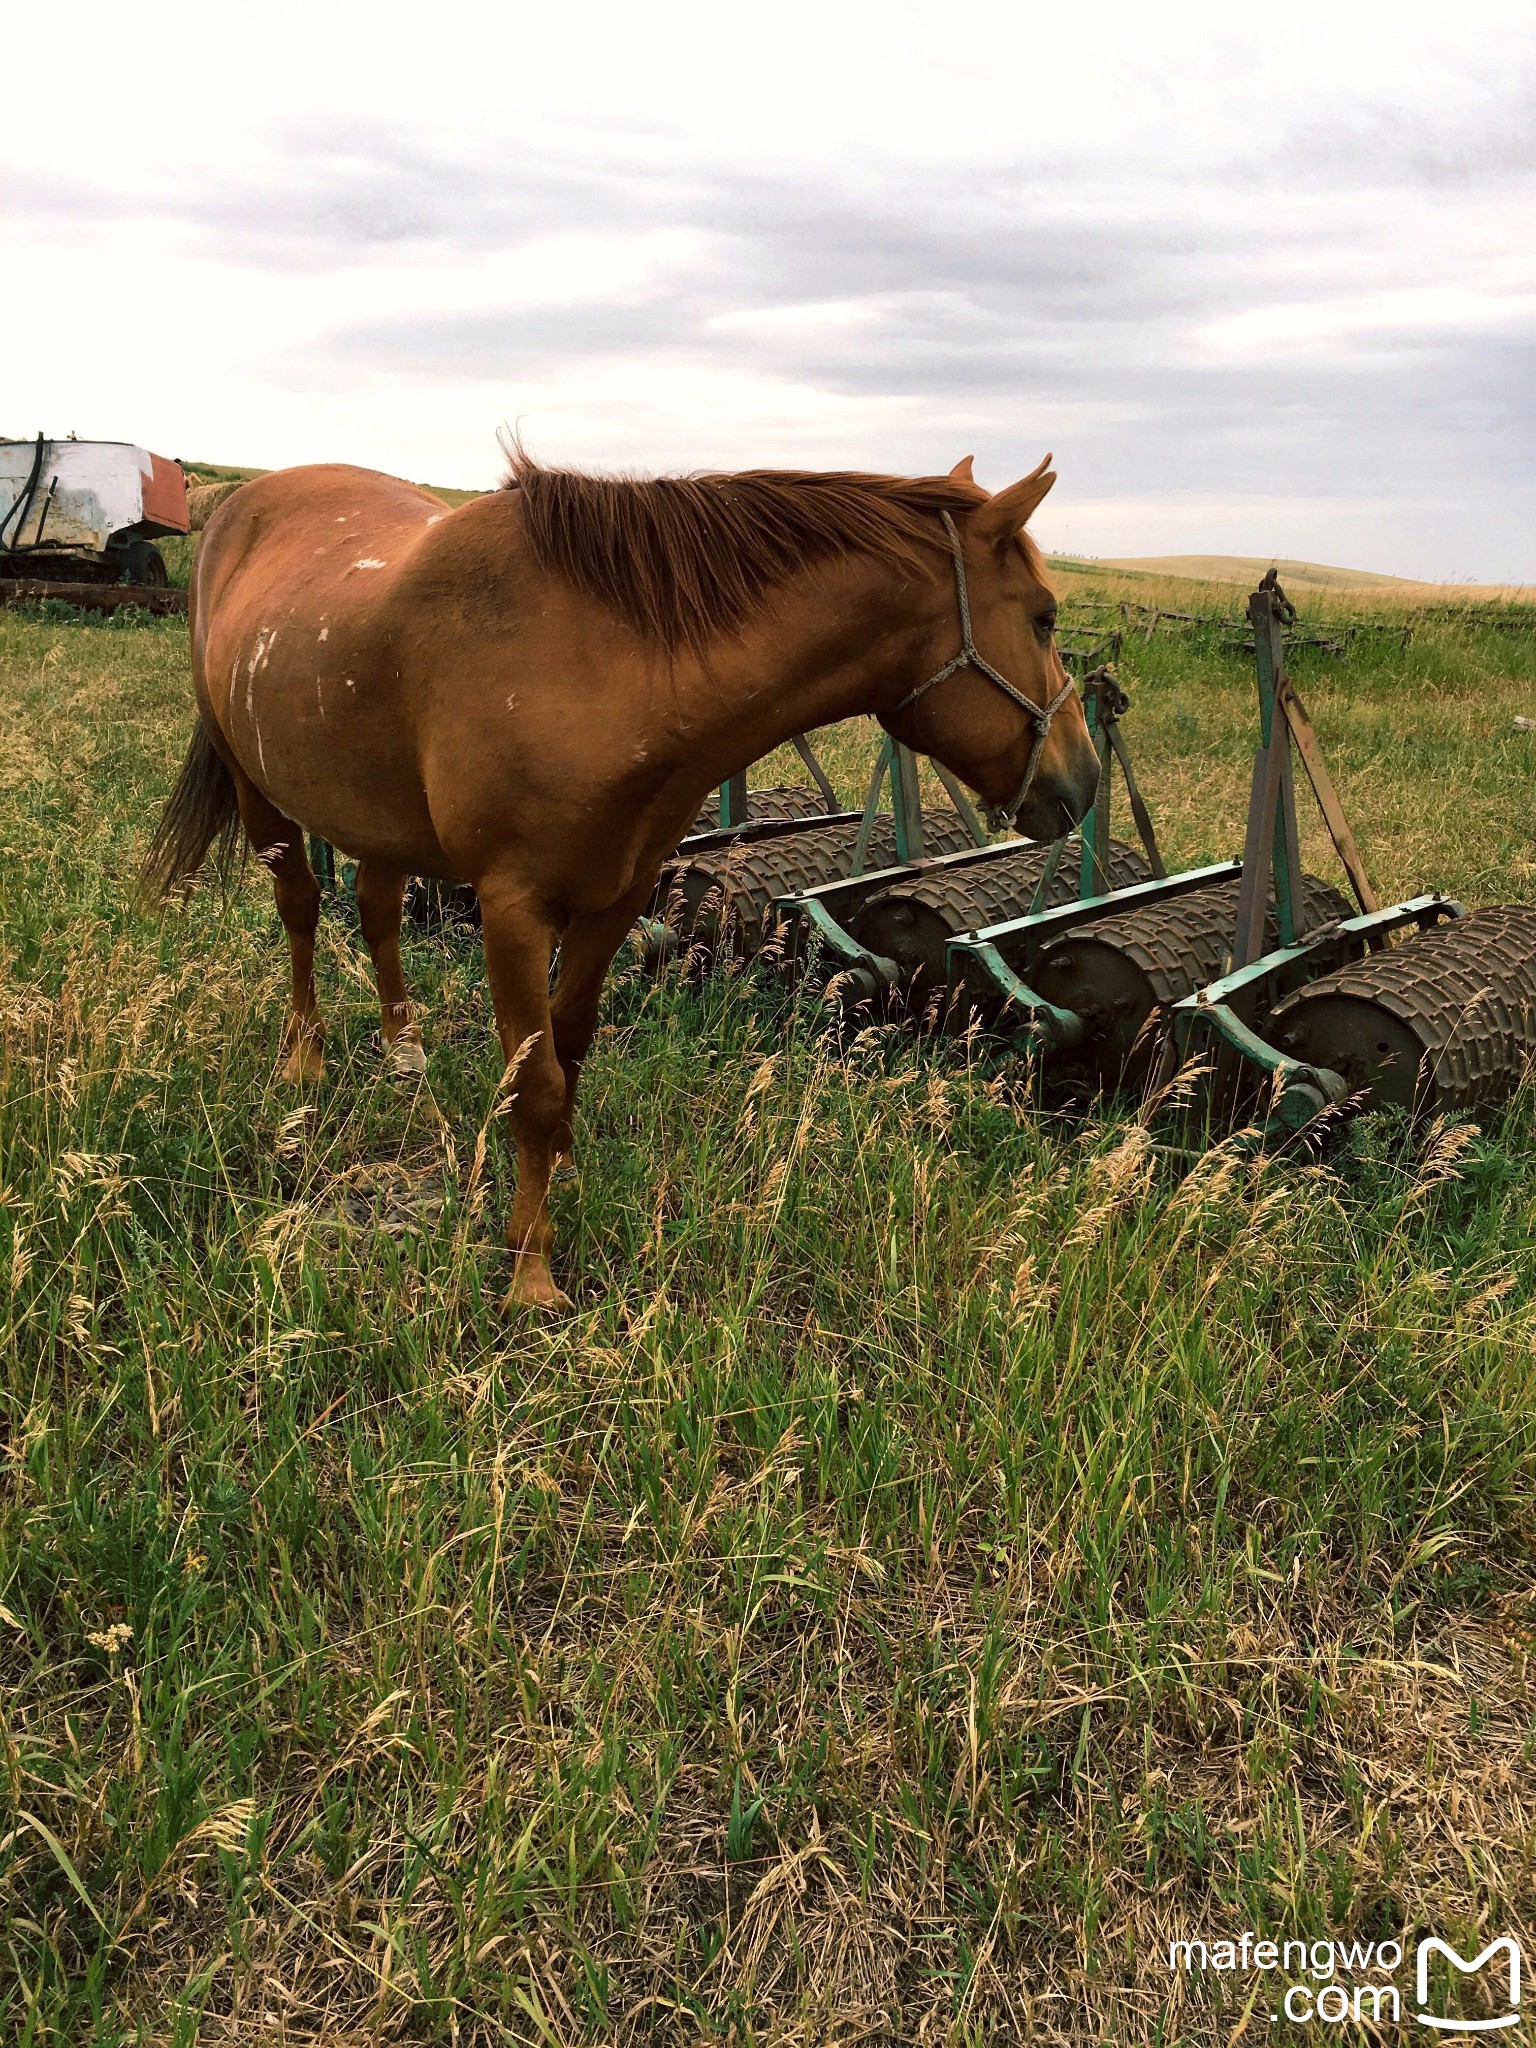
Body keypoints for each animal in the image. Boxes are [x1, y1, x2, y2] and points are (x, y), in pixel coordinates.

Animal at [144, 454, 1097, 1302]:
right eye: (1045, 618)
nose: (1082, 784)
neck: (603, 666)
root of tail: (238, 508)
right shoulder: (514, 912)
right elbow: (533, 1084)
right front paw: (529, 1267)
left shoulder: (616, 901)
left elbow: (569, 1050)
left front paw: (558, 1170)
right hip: (258, 788)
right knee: (303, 911)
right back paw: (306, 1058)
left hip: (373, 814)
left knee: (377, 915)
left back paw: (404, 1053)